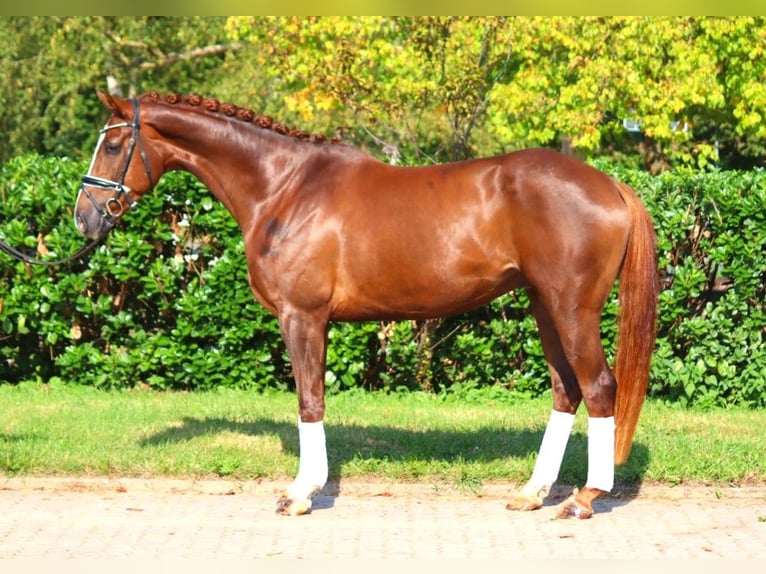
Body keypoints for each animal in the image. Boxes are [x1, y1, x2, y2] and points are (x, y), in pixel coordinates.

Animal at [75, 91, 660, 520]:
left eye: (113, 146)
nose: (84, 218)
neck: (284, 188)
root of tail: (609, 185)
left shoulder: (302, 316)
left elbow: (309, 400)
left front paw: (300, 493)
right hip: (545, 306)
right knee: (566, 390)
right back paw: (533, 493)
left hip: (572, 309)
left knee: (598, 387)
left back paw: (585, 498)